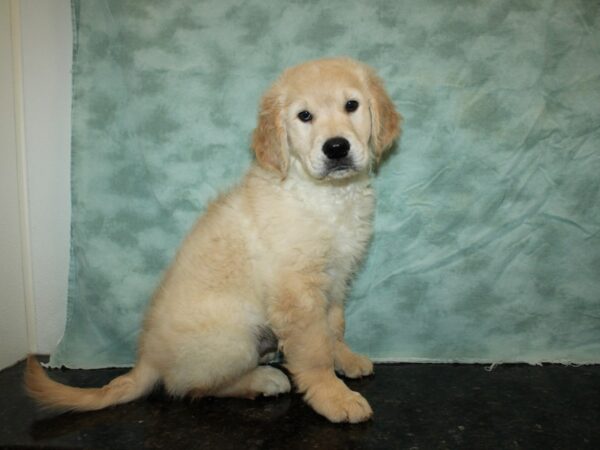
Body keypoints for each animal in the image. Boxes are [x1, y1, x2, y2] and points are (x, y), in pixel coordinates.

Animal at [25, 57, 400, 422]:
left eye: (351, 105)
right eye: (304, 116)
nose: (336, 148)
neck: (324, 195)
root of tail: (148, 360)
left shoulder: (335, 279)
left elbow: (334, 329)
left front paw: (346, 359)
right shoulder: (297, 292)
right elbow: (314, 351)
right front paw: (333, 396)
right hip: (235, 336)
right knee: (190, 386)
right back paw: (263, 379)